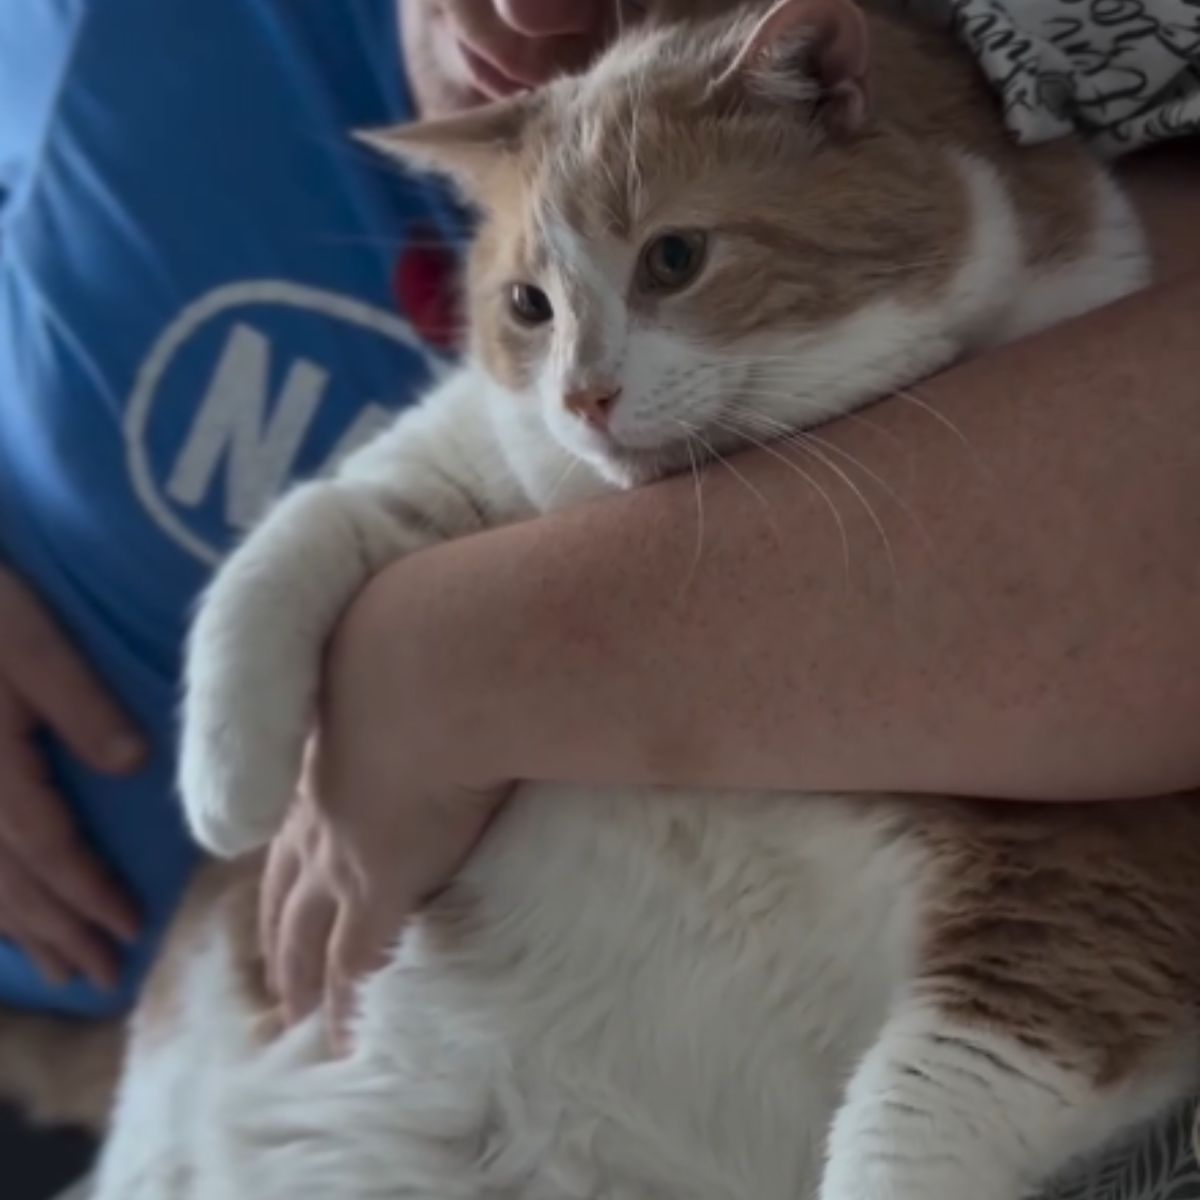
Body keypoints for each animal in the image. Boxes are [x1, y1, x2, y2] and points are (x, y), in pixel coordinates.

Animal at [30, 0, 1200, 1195]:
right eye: (528, 305)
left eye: (673, 259)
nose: (583, 396)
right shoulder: (478, 456)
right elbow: (310, 523)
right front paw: (233, 787)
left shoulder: (1095, 885)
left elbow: (911, 1126)